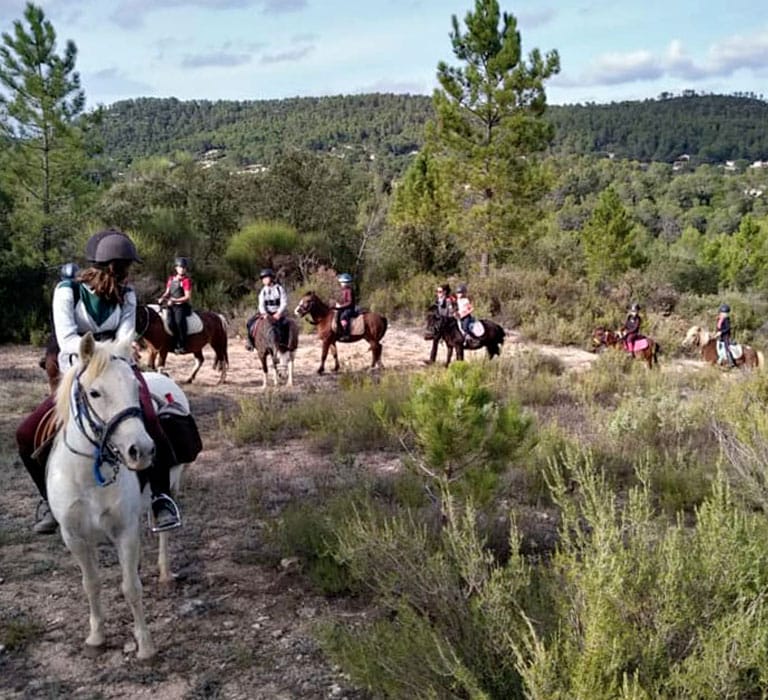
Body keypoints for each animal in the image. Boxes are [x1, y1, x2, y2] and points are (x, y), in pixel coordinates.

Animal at [47, 333, 191, 659]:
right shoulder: (74, 537)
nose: (142, 450)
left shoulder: (125, 531)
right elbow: (91, 584)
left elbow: (131, 588)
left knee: (163, 530)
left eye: (135, 388)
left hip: (172, 487)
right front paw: (96, 636)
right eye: (95, 393)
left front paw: (145, 645)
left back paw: (165, 573)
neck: (88, 477)